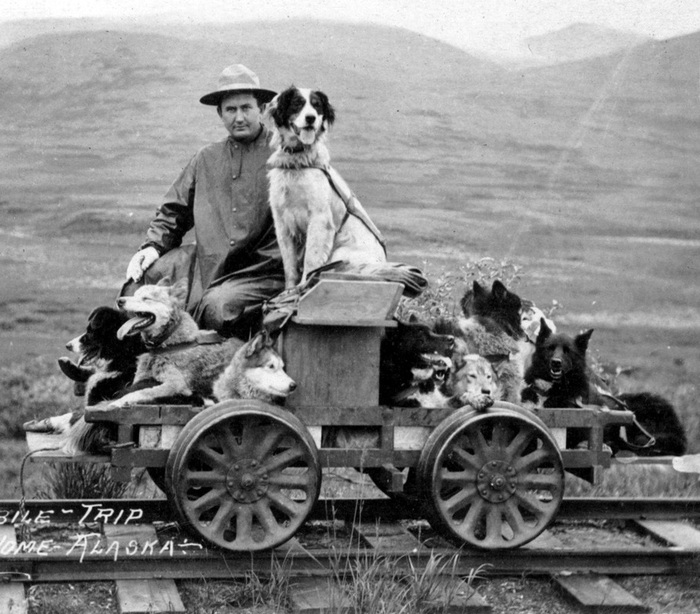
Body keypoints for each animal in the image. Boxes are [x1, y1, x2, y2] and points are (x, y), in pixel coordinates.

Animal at [266, 85, 387, 289]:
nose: (311, 118)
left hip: (341, 253)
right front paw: (289, 290)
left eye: (317, 106)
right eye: (297, 103)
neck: (298, 163)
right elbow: (289, 265)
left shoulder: (319, 219)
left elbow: (311, 259)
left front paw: (303, 286)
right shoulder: (282, 222)